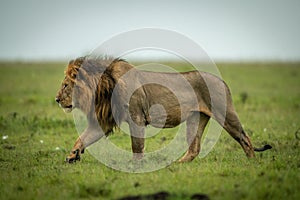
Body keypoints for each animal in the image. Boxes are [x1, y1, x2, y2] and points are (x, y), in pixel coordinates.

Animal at [54, 56, 272, 162]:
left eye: (65, 85)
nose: (56, 99)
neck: (103, 87)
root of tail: (222, 80)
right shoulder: (105, 121)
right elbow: (82, 138)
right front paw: (72, 155)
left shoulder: (136, 118)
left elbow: (137, 146)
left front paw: (136, 166)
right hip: (196, 118)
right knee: (194, 148)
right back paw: (177, 165)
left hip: (225, 114)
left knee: (245, 138)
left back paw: (252, 164)